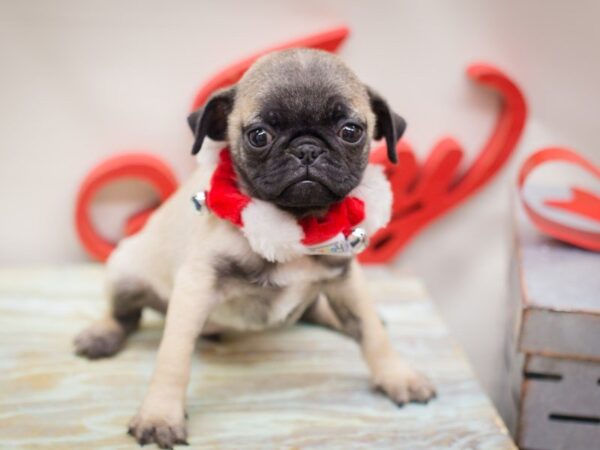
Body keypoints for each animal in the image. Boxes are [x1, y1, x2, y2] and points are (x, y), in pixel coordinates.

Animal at [75, 47, 436, 448]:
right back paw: (101, 335)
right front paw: (160, 414)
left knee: (321, 311)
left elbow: (372, 334)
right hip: (125, 272)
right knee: (125, 315)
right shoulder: (197, 285)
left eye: (351, 131)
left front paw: (399, 377)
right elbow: (174, 356)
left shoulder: (345, 278)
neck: (298, 225)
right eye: (259, 135)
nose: (306, 149)